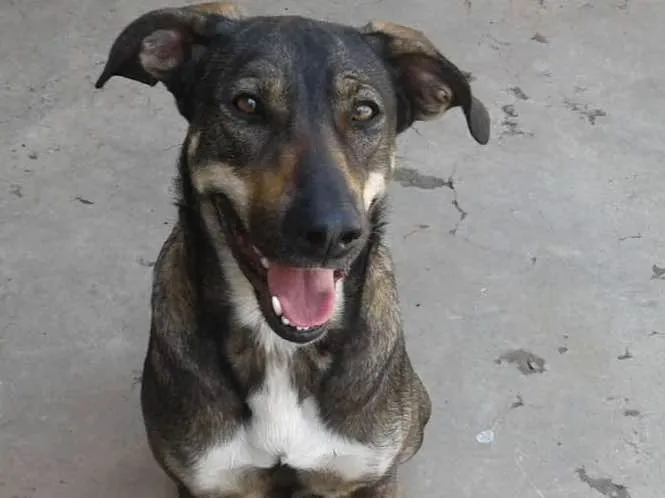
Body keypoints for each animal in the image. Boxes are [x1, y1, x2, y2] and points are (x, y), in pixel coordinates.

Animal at [94, 3, 490, 496]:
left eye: (364, 111)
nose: (331, 234)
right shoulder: (208, 481)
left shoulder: (369, 473)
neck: (281, 350)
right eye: (246, 104)